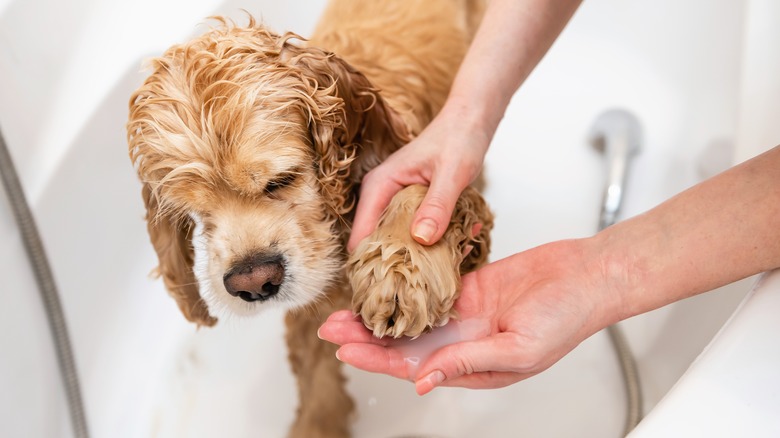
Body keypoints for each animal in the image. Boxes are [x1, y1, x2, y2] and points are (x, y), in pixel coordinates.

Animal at [128, 1, 494, 436]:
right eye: (197, 213)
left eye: (282, 179)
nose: (254, 283)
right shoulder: (307, 310)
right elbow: (317, 384)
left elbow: (419, 188)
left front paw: (400, 273)